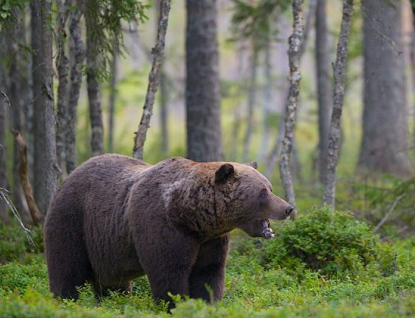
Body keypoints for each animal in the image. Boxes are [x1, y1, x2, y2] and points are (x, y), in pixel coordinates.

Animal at [44, 153, 294, 310]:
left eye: (270, 187)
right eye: (263, 192)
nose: (288, 208)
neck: (191, 215)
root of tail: (68, 177)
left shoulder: (210, 240)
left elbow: (209, 272)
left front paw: (208, 303)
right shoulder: (162, 226)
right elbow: (169, 272)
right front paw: (174, 304)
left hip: (106, 248)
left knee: (112, 282)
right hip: (73, 221)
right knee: (67, 269)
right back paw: (65, 302)